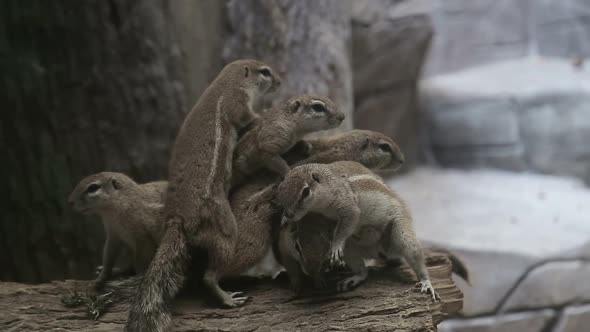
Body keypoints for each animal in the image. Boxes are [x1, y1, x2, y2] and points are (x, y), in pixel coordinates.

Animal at [125, 59, 282, 332]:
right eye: (264, 72)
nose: (280, 81)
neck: (228, 81)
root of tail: (176, 219)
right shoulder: (238, 103)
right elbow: (250, 118)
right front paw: (265, 111)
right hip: (225, 229)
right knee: (210, 275)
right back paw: (228, 298)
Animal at [276, 161, 440, 300]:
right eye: (280, 187)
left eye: (305, 192)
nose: (289, 214)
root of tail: (377, 251)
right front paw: (284, 220)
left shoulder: (348, 207)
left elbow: (347, 223)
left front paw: (335, 246)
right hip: (350, 250)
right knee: (363, 272)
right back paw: (353, 279)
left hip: (403, 233)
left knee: (415, 257)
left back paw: (426, 282)